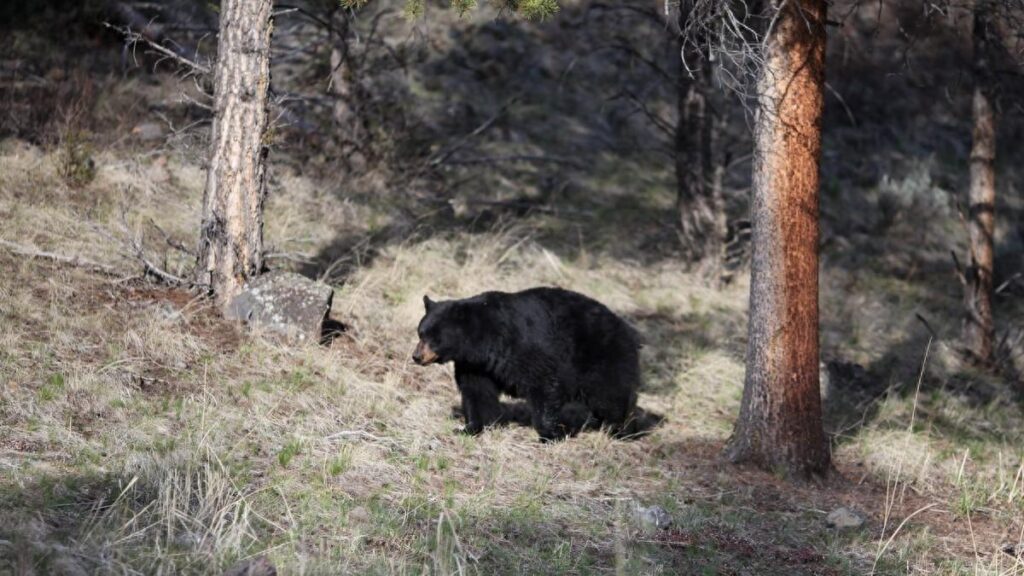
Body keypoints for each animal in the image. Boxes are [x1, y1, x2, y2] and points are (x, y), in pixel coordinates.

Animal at [409, 286, 638, 438]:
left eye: (433, 338)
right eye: (420, 333)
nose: (416, 356)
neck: (485, 339)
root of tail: (626, 327)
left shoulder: (524, 347)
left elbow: (544, 384)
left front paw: (551, 434)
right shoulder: (475, 365)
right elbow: (476, 392)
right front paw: (469, 427)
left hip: (601, 356)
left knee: (609, 395)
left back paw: (617, 429)